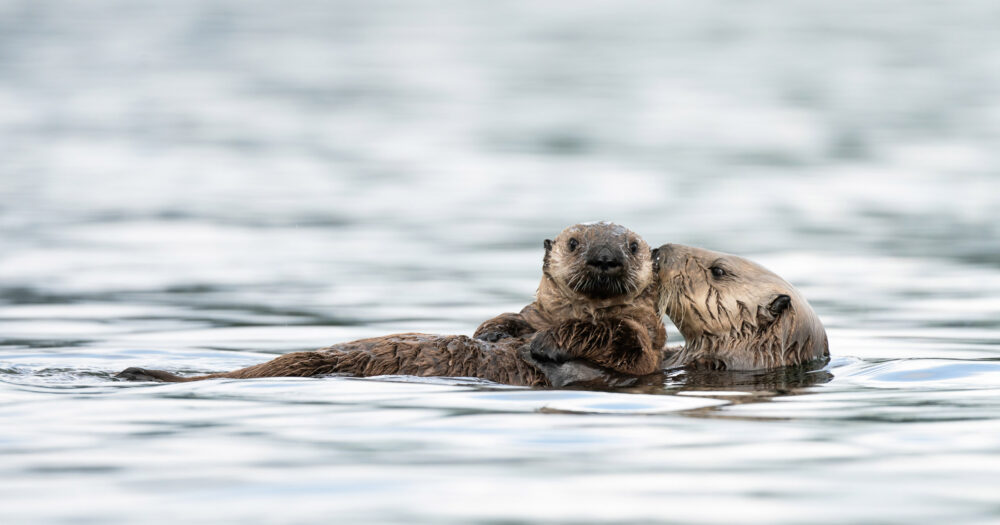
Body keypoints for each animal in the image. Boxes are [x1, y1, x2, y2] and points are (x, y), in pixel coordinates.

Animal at [117, 222, 666, 387]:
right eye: (575, 241)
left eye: (632, 245)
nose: (605, 257)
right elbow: (513, 317)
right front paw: (492, 331)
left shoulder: (642, 347)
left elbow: (621, 342)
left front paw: (547, 344)